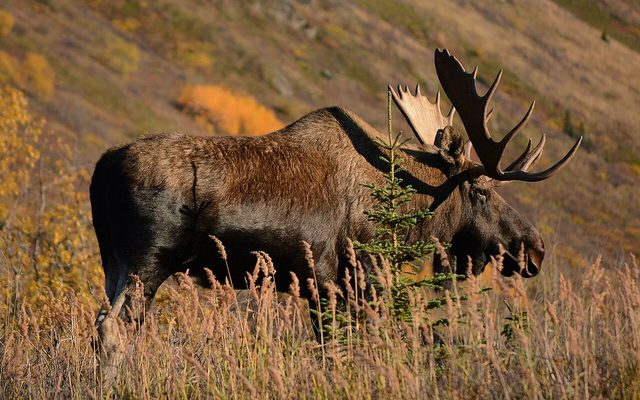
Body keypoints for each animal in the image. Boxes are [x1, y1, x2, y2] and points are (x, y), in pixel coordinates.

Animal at [90, 48, 581, 364]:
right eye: (481, 190)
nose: (535, 249)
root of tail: (101, 170)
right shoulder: (339, 281)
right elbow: (338, 352)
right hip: (148, 261)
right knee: (113, 330)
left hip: (114, 261)